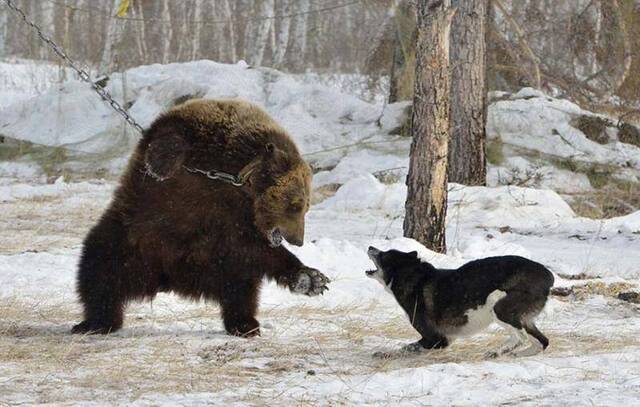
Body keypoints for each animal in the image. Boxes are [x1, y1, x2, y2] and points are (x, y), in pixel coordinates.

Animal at [72, 99, 330, 338]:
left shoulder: (235, 220)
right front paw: (159, 166)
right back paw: (95, 323)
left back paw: (245, 323)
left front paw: (311, 279)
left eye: (306, 206)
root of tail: (169, 279)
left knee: (242, 288)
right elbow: (170, 141)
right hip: (132, 238)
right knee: (99, 267)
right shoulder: (195, 140)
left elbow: (258, 249)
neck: (237, 178)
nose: (298, 240)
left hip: (220, 263)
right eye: (296, 205)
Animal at [368, 247, 552, 358]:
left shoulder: (436, 339)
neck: (413, 277)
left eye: (383, 254)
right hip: (524, 319)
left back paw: (497, 352)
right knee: (542, 342)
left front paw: (385, 354)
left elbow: (406, 348)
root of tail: (548, 277)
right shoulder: (445, 339)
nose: (370, 247)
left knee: (522, 338)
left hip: (498, 306)